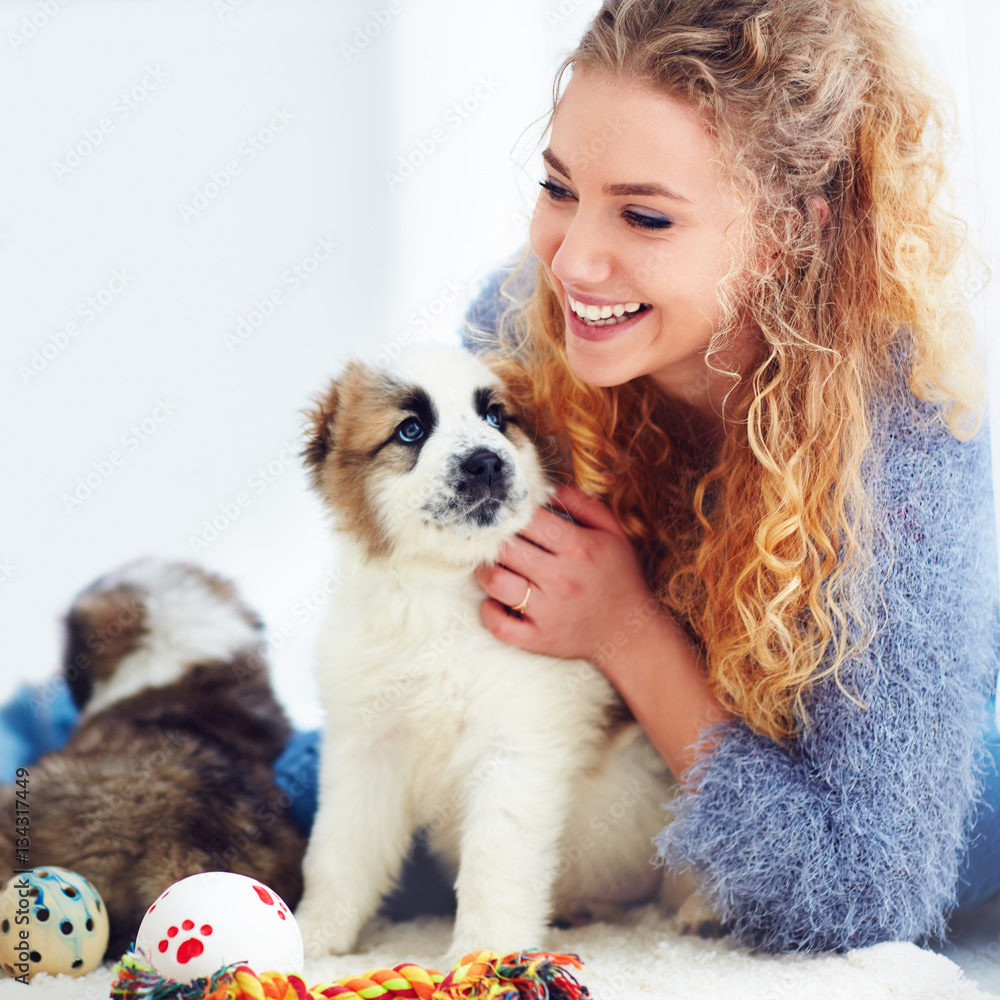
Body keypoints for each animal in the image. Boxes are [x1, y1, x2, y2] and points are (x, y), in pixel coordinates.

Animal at [296, 346, 700, 960]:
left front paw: (483, 956)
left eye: (495, 418)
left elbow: (493, 865)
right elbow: (339, 854)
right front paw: (314, 939)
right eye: (411, 430)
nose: (485, 463)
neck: (441, 598)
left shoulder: (515, 750)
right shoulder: (365, 747)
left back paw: (703, 912)